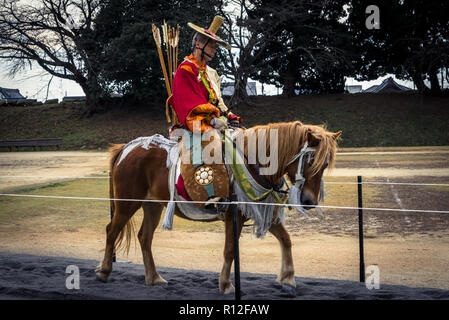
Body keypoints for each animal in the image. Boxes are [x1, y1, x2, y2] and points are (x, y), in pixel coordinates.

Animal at [95, 121, 340, 294]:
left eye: (325, 164)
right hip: (127, 203)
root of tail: (127, 147)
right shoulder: (235, 215)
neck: (253, 162)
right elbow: (230, 250)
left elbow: (286, 240)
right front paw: (226, 284)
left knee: (145, 237)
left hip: (152, 206)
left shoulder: (261, 211)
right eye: (310, 160)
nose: (309, 201)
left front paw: (288, 278)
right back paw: (104, 271)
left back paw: (154, 277)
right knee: (112, 231)